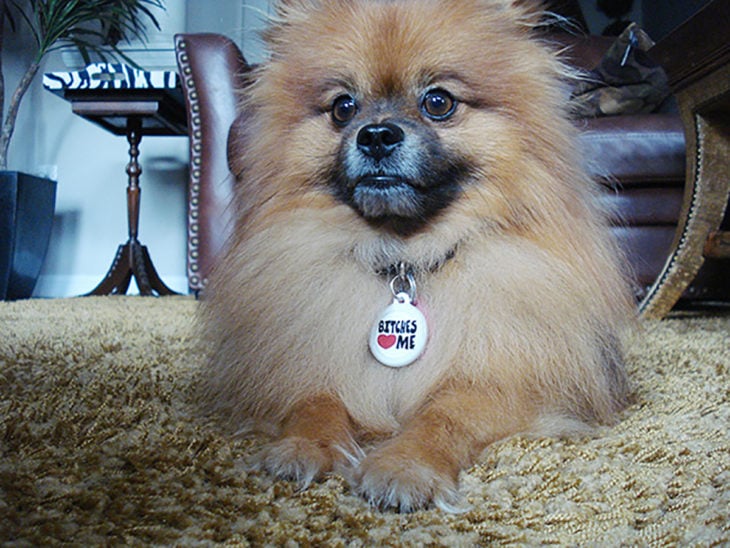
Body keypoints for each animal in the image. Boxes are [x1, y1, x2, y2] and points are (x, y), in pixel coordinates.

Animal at [199, 0, 632, 512]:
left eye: (438, 102)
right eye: (342, 107)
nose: (376, 135)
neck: (404, 257)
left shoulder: (505, 380)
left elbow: (443, 416)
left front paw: (405, 466)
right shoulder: (310, 360)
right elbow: (315, 401)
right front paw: (303, 446)